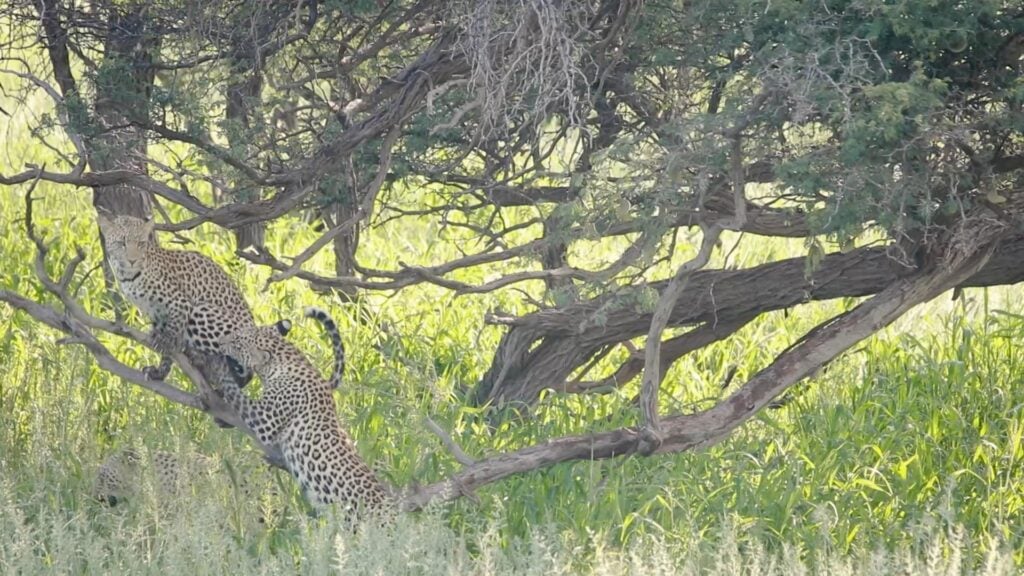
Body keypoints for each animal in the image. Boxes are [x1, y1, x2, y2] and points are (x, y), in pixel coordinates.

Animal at [97, 213, 261, 385]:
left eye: (140, 244)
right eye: (121, 243)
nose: (132, 260)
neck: (128, 276)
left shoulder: (179, 302)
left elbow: (175, 327)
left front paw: (167, 341)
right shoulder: (157, 312)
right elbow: (167, 349)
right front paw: (160, 372)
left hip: (201, 311)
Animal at [215, 307, 391, 516]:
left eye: (237, 342)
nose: (219, 342)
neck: (285, 360)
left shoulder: (266, 420)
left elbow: (239, 397)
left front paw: (223, 373)